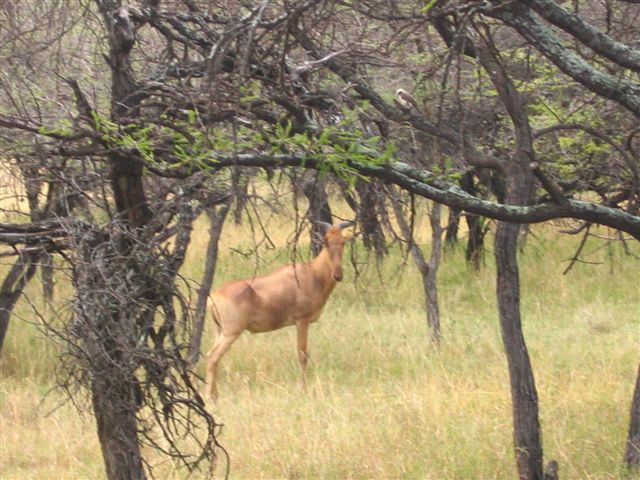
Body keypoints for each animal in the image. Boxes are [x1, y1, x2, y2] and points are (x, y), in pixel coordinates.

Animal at [205, 219, 356, 400]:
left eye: (342, 242)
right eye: (325, 242)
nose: (338, 275)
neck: (311, 273)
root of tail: (213, 298)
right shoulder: (302, 321)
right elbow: (302, 355)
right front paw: (303, 389)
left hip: (220, 332)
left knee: (210, 356)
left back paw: (213, 394)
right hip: (231, 333)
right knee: (213, 357)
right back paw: (210, 396)